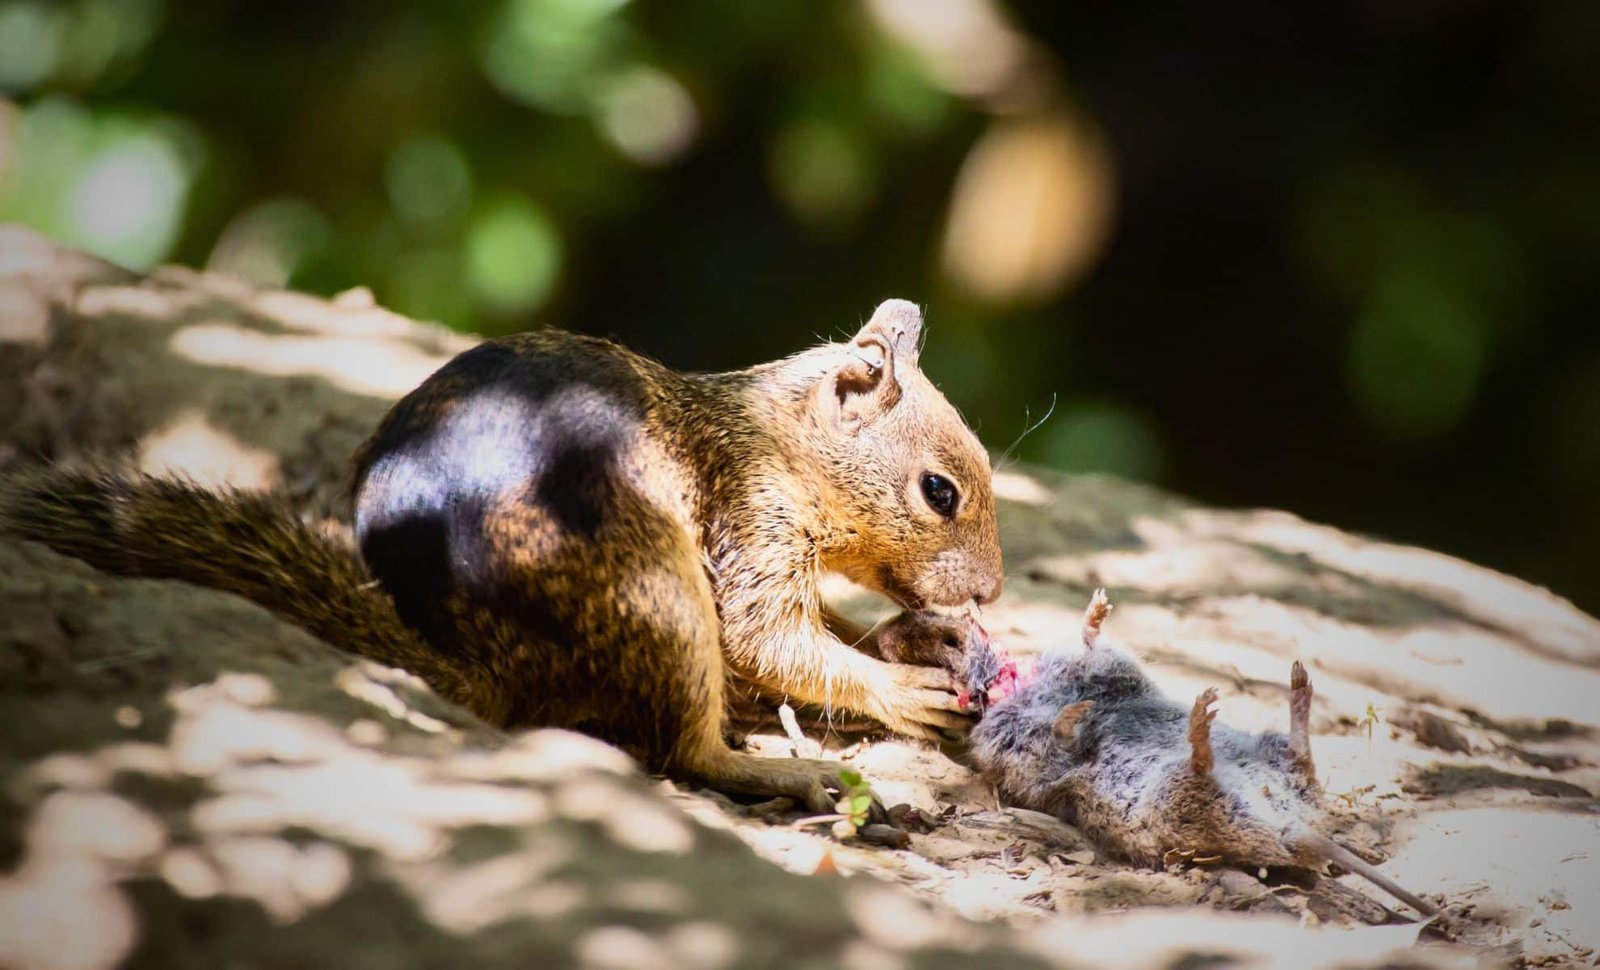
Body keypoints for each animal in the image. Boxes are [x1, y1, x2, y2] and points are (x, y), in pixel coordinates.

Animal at [3, 297, 998, 813]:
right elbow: (769, 640)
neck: (778, 438)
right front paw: (900, 686)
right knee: (684, 750)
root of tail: (488, 661)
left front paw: (922, 641)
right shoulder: (751, 517)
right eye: (939, 491)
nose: (990, 592)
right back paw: (782, 769)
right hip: (657, 589)